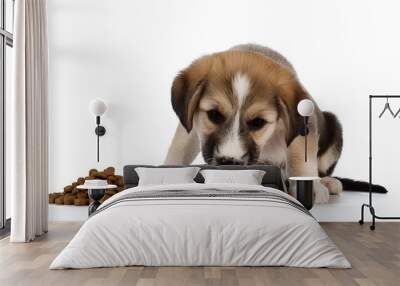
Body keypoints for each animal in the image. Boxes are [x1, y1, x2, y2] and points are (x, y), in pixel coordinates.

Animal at [164, 43, 342, 202]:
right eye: (214, 115)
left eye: (257, 122)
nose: (229, 163)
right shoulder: (191, 128)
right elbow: (178, 151)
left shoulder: (303, 127)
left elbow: (302, 160)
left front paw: (312, 190)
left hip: (334, 126)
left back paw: (328, 182)